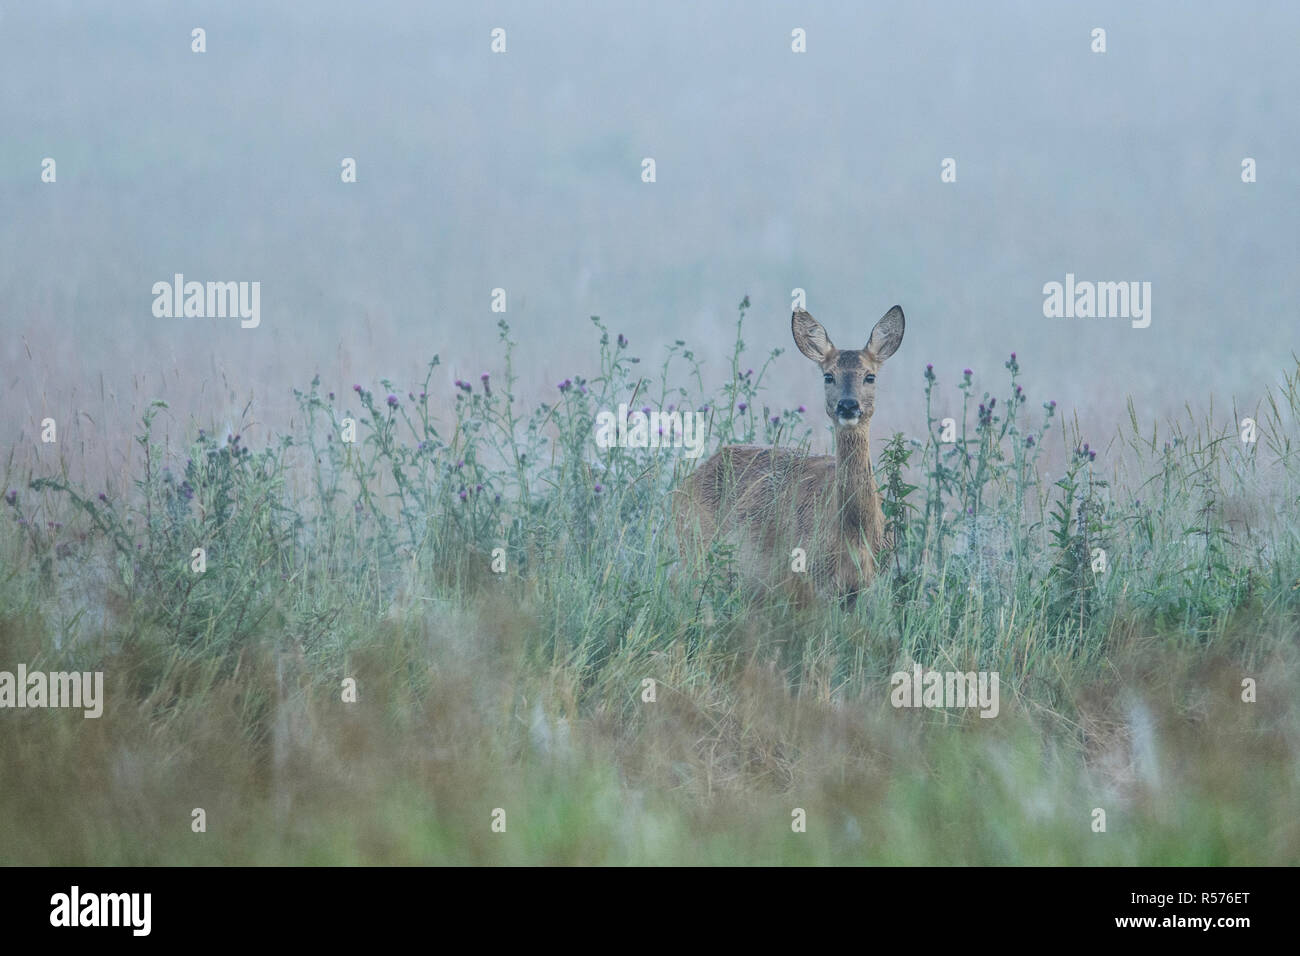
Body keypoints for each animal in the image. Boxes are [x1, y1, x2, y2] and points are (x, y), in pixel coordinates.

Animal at [681, 303, 904, 608]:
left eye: (870, 376)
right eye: (828, 376)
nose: (848, 405)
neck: (853, 534)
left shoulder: (868, 586)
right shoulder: (814, 580)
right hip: (695, 549)